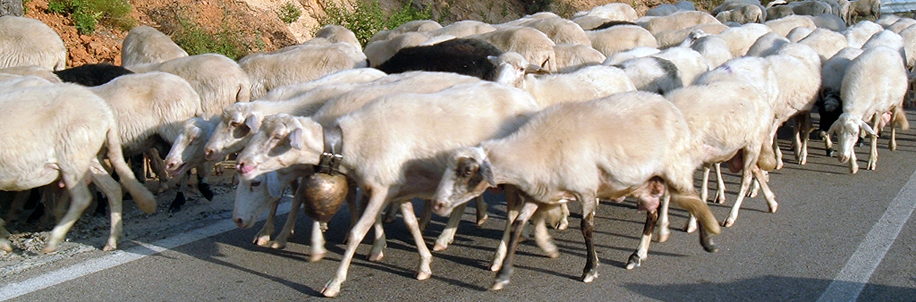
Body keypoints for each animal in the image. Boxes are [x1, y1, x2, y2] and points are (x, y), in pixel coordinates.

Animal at [0, 82, 156, 252]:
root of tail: (105, 113)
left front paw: (4, 242)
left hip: (72, 157)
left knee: (82, 198)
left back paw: (52, 240)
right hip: (87, 158)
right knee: (113, 188)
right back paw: (112, 240)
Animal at [236, 80, 544, 298]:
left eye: (278, 137)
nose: (241, 164)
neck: (350, 141)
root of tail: (528, 99)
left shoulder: (382, 189)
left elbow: (358, 232)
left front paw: (334, 282)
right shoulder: (398, 187)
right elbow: (410, 222)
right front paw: (424, 263)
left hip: (510, 176)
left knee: (513, 216)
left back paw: (498, 259)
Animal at [430, 91, 724, 290]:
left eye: (467, 171)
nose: (437, 205)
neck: (533, 150)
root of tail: (669, 105)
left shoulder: (586, 190)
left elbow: (586, 228)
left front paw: (590, 269)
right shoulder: (539, 195)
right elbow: (517, 226)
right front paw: (502, 276)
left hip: (674, 168)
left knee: (692, 199)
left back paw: (707, 240)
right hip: (645, 182)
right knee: (653, 213)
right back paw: (637, 255)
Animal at [828, 45, 904, 173]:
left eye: (854, 133)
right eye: (837, 132)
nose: (842, 158)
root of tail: (884, 47)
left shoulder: (878, 111)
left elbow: (873, 135)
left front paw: (872, 160)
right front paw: (853, 165)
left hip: (897, 102)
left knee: (893, 123)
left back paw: (892, 145)